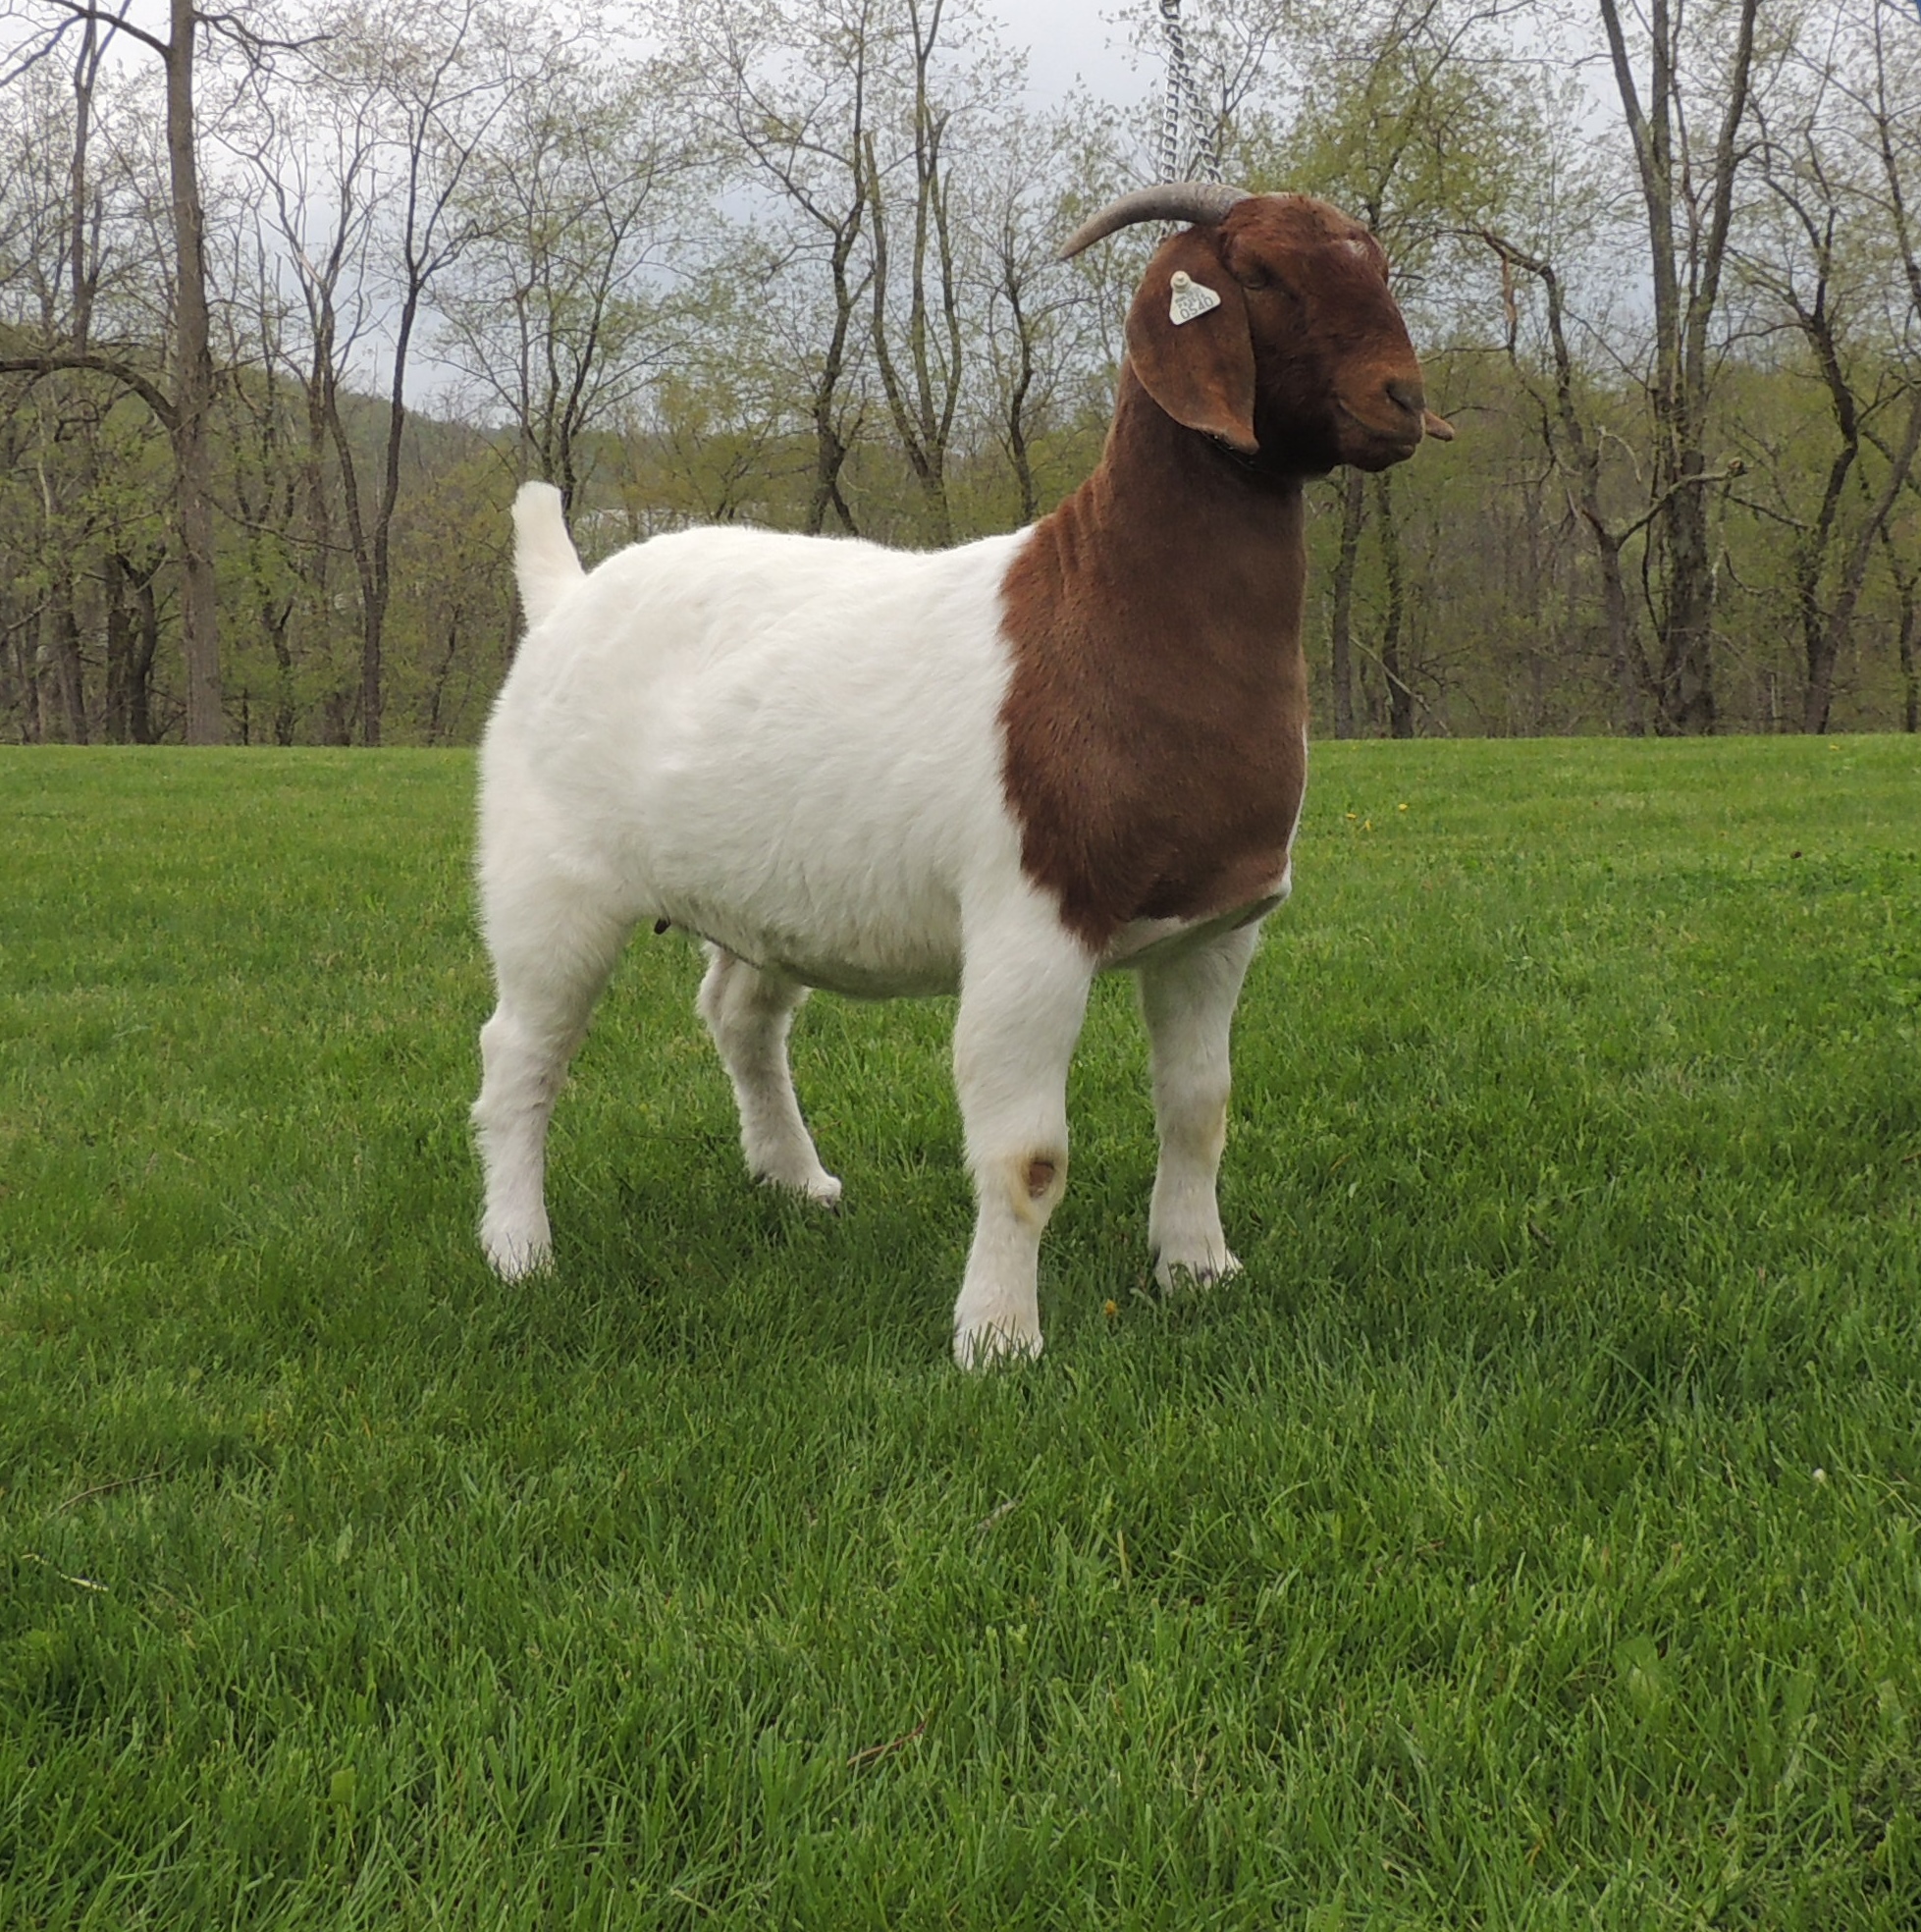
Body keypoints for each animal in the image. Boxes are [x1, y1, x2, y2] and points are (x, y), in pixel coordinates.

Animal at [472, 184, 1452, 1366]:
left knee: (740, 1014)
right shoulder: (1032, 921)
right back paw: (518, 1252)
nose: (1402, 400)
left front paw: (1198, 1270)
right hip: (547, 877)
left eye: (1378, 265)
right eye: (1258, 275)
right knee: (522, 1053)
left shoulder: (1219, 927)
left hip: (768, 887)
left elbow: (1199, 1109)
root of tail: (565, 593)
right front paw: (997, 1339)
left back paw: (795, 1180)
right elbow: (1025, 1155)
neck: (1109, 608)